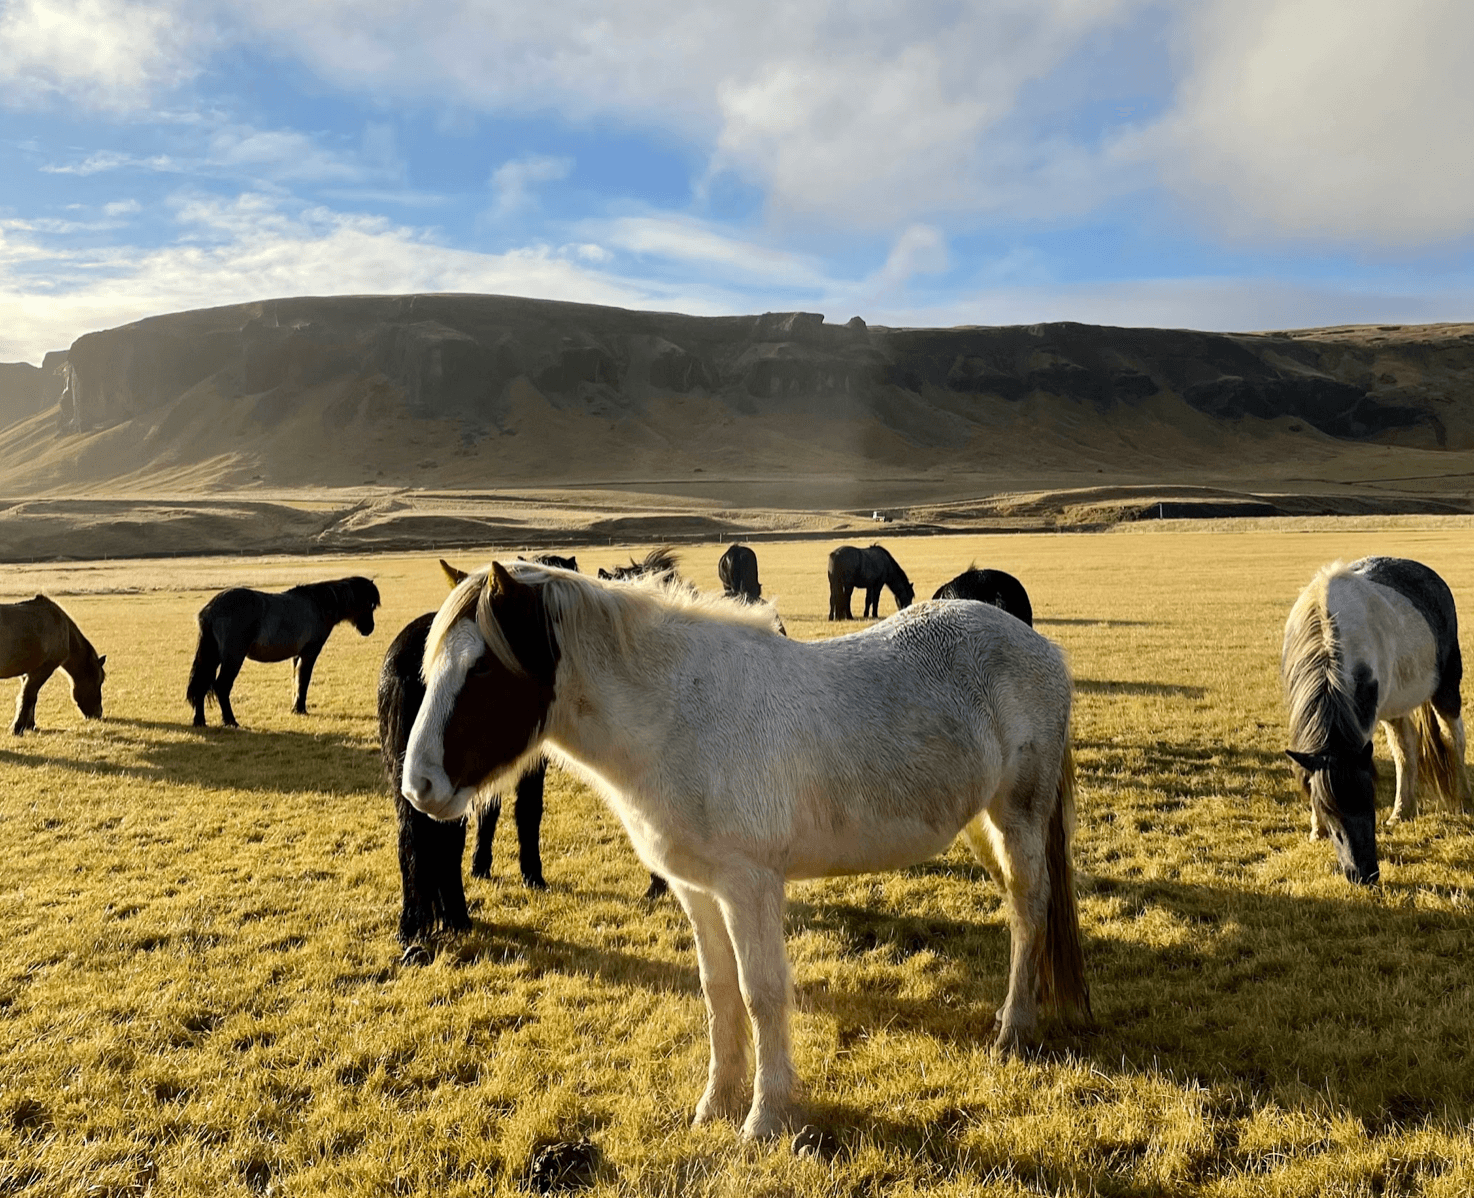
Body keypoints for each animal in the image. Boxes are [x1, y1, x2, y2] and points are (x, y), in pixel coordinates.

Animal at [1, 595, 106, 735]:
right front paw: (17, 727)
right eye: (98, 681)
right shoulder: (44, 669)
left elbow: (30, 698)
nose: (98, 713)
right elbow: (28, 696)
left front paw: (29, 725)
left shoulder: (28, 671)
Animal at [186, 576, 380, 727]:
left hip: (212, 656)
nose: (369, 628)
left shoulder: (297, 655)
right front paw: (300, 708)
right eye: (369, 604)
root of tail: (210, 609)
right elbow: (304, 679)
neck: (318, 604)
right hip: (233, 658)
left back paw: (200, 721)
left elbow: (296, 679)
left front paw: (296, 708)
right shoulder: (309, 653)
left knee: (201, 685)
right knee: (222, 686)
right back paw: (230, 721)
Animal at [401, 562, 1090, 1139]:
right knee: (1019, 909)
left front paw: (765, 1117)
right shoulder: (697, 889)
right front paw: (716, 1103)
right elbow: (719, 990)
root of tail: (1040, 648)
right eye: (431, 667)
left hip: (1018, 818)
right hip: (982, 824)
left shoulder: (749, 886)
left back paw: (1013, 1030)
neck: (679, 716)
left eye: (482, 668)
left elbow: (762, 992)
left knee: (1030, 910)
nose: (419, 787)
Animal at [1283, 557, 1472, 884]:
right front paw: (1316, 830)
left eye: (1370, 803)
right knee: (1406, 749)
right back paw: (1402, 812)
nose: (1364, 874)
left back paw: (1462, 799)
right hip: (1396, 705)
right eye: (1331, 813)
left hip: (1446, 688)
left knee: (1453, 739)